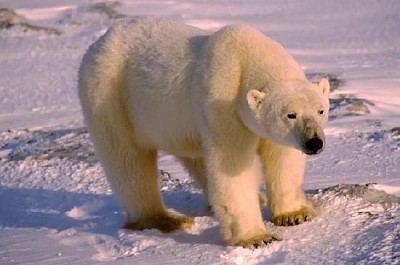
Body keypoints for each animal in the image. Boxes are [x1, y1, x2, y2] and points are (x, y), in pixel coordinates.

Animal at [77, 17, 328, 246]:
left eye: (320, 110)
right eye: (291, 115)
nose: (314, 142)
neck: (248, 55)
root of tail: (100, 41)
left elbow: (282, 158)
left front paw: (294, 214)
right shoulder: (223, 102)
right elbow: (231, 165)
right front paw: (256, 237)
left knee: (194, 157)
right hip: (110, 95)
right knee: (128, 160)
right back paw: (166, 219)